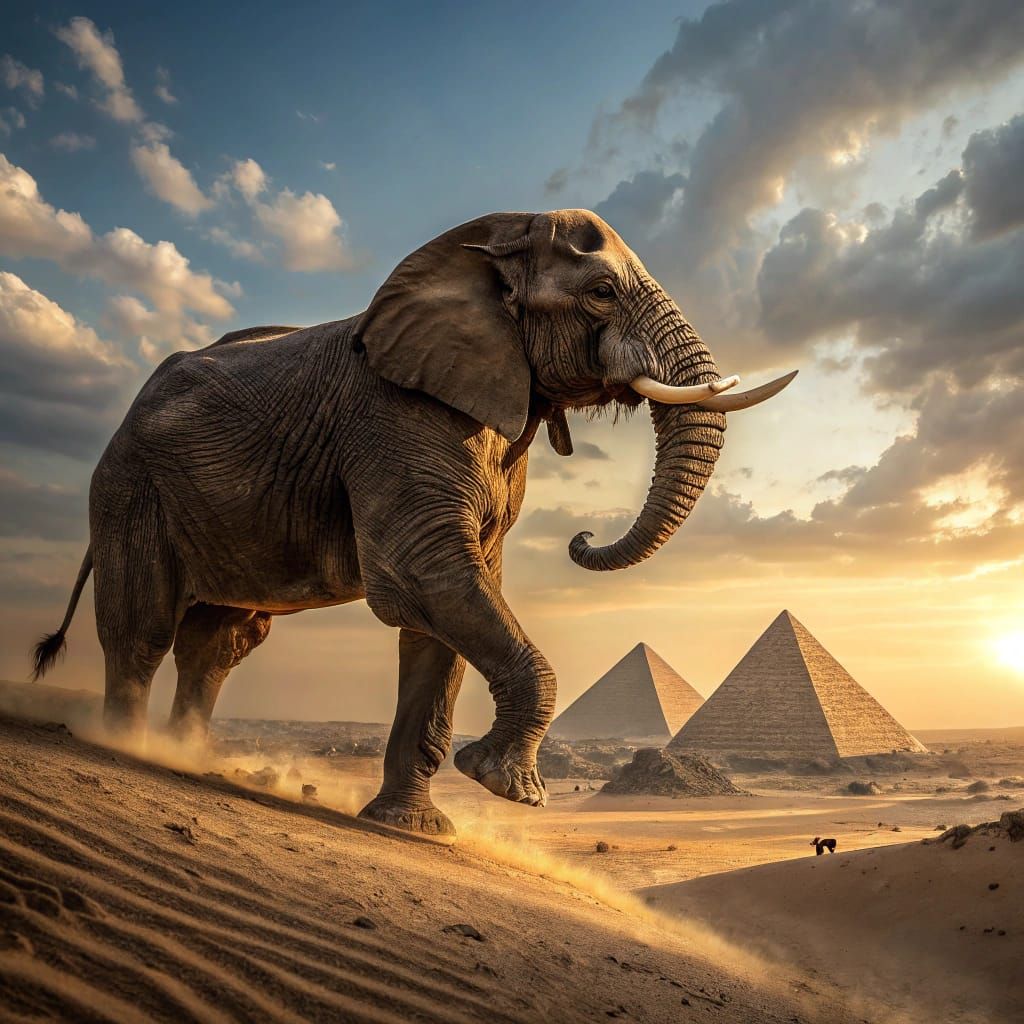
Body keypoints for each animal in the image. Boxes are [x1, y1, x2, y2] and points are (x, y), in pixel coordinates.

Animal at [32, 209, 794, 835]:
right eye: (602, 291)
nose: (582, 538)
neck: (487, 245)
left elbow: (450, 603)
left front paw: (414, 826)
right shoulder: (395, 418)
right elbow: (425, 574)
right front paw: (505, 784)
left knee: (218, 646)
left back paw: (182, 758)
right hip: (130, 489)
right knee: (142, 629)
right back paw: (129, 749)